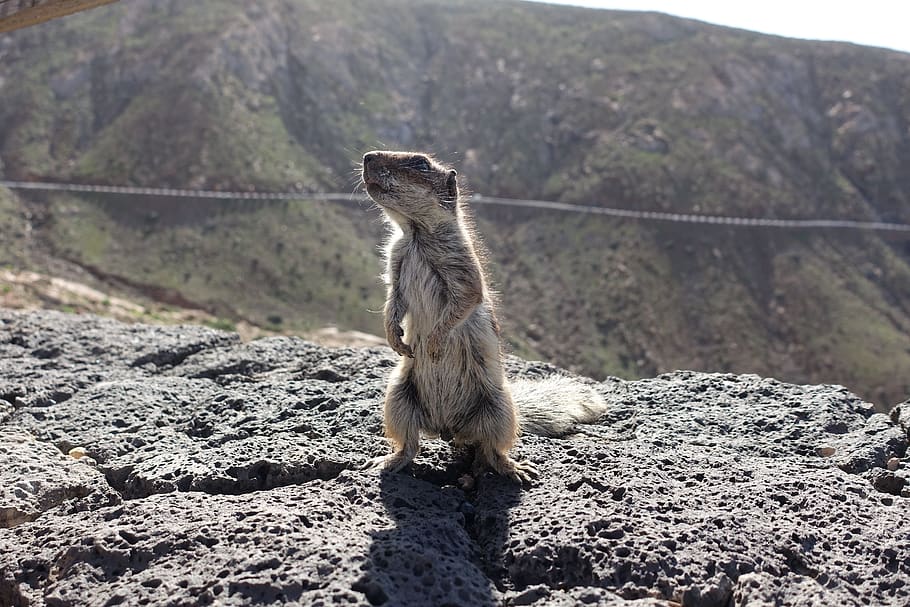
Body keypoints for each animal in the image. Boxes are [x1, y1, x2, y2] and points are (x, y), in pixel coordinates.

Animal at [361, 150, 606, 483]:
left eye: (421, 163)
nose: (367, 156)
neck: (415, 233)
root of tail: (449, 428)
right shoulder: (395, 260)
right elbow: (393, 300)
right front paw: (394, 337)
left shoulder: (462, 263)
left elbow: (465, 299)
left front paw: (435, 344)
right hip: (398, 398)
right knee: (410, 445)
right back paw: (385, 461)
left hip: (499, 410)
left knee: (491, 450)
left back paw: (515, 469)